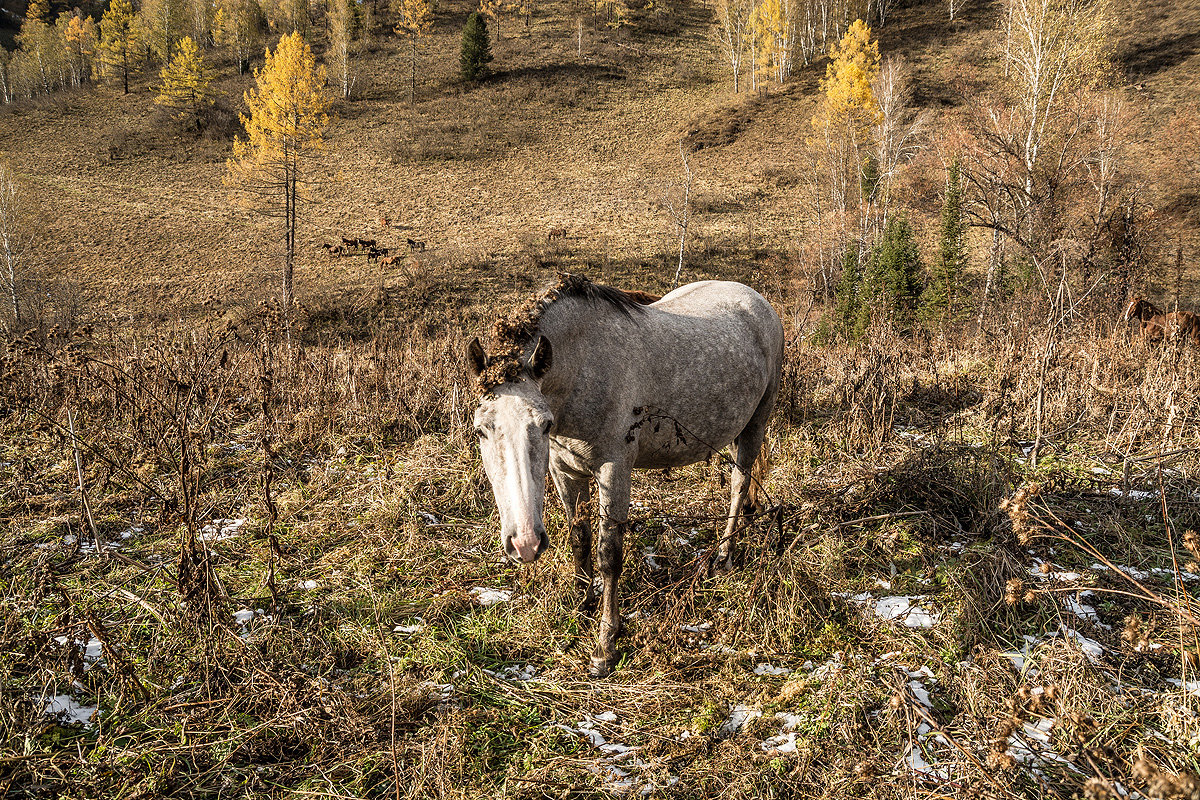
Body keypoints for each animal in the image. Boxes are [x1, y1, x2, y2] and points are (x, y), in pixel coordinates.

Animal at [463, 275, 782, 676]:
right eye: (480, 430)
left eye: (544, 424)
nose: (525, 544)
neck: (583, 371)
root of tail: (756, 299)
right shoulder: (564, 471)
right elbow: (579, 540)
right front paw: (582, 605)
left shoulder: (614, 471)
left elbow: (608, 555)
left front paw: (605, 644)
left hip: (756, 424)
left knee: (739, 485)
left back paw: (724, 556)